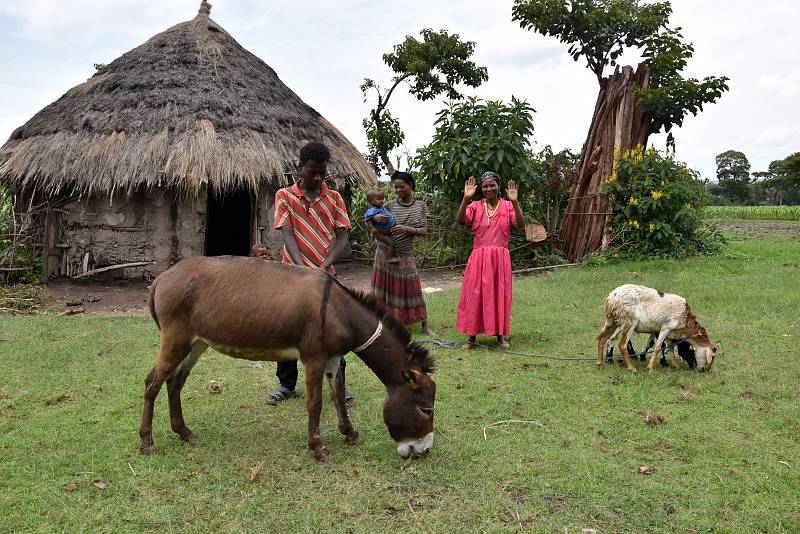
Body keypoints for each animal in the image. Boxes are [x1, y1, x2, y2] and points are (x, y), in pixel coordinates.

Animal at [592, 286, 720, 374]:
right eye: (712, 357)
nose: (703, 370)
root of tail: (612, 297)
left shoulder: (665, 332)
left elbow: (669, 347)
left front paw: (674, 364)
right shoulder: (666, 327)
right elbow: (659, 347)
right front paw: (650, 369)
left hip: (611, 321)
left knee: (602, 338)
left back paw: (600, 364)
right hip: (630, 322)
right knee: (622, 344)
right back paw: (632, 368)